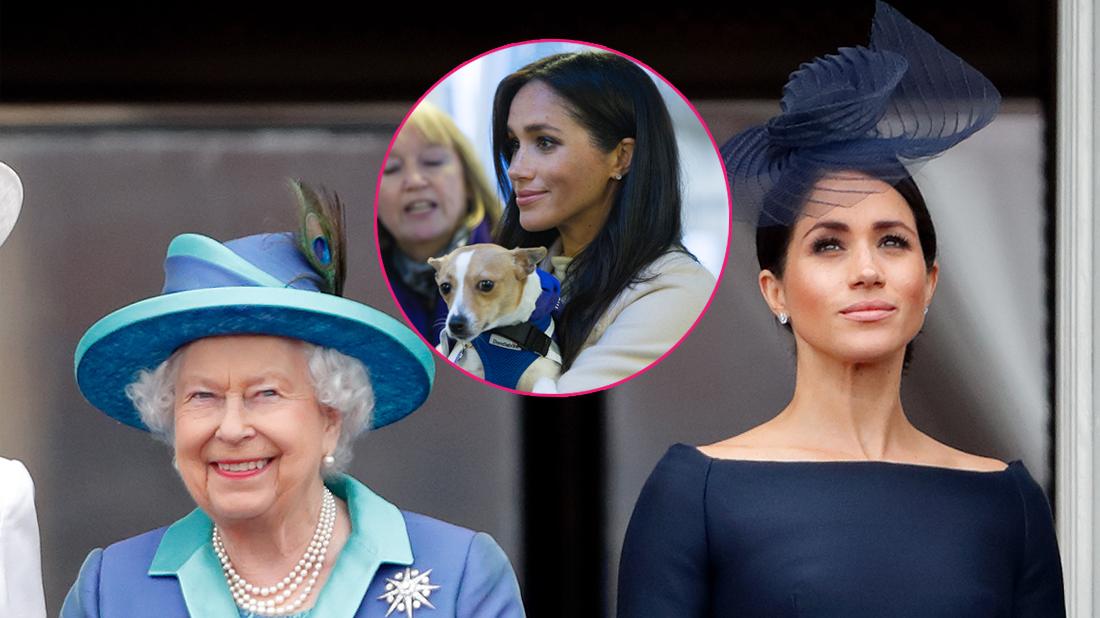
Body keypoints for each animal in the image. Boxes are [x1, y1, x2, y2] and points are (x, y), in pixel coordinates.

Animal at [426, 243, 563, 391]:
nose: (455, 324)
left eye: (486, 284)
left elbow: (544, 384)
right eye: (444, 287)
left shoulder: (542, 375)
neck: (505, 335)